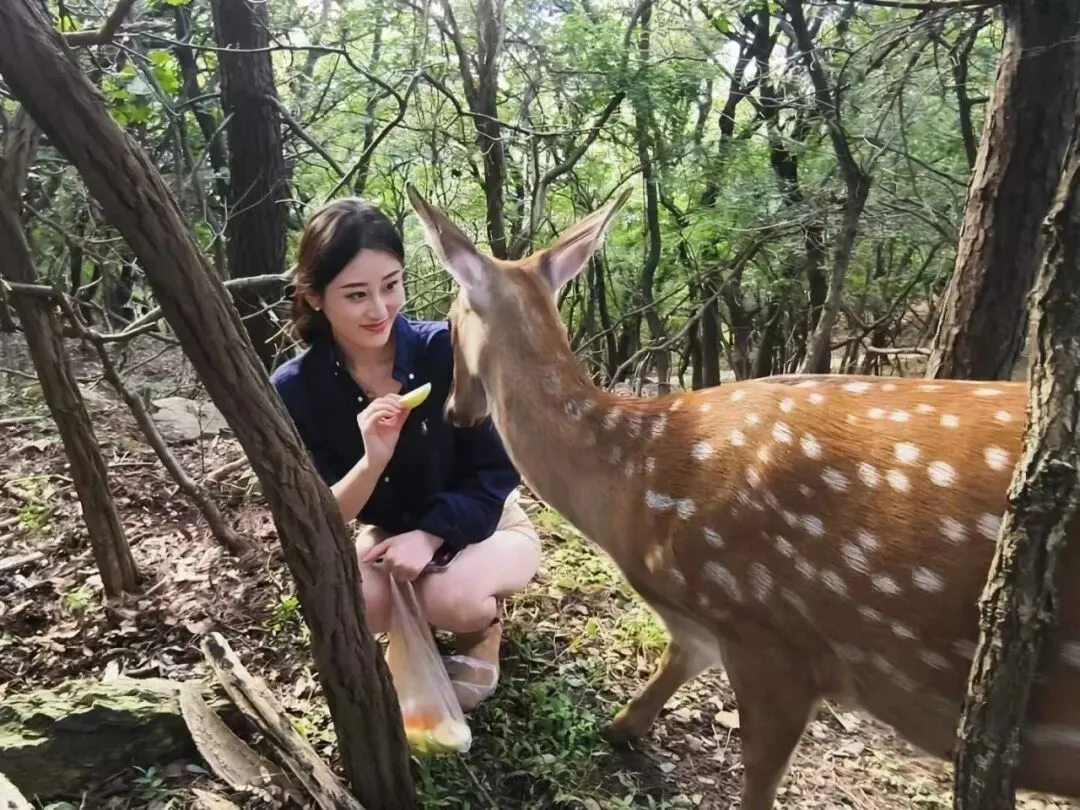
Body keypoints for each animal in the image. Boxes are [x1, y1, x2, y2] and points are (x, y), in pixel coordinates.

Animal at [404, 183, 1080, 809]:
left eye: (452, 316)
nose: (456, 412)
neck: (638, 489)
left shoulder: (773, 638)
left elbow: (759, 776)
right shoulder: (709, 626)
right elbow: (666, 674)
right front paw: (621, 727)